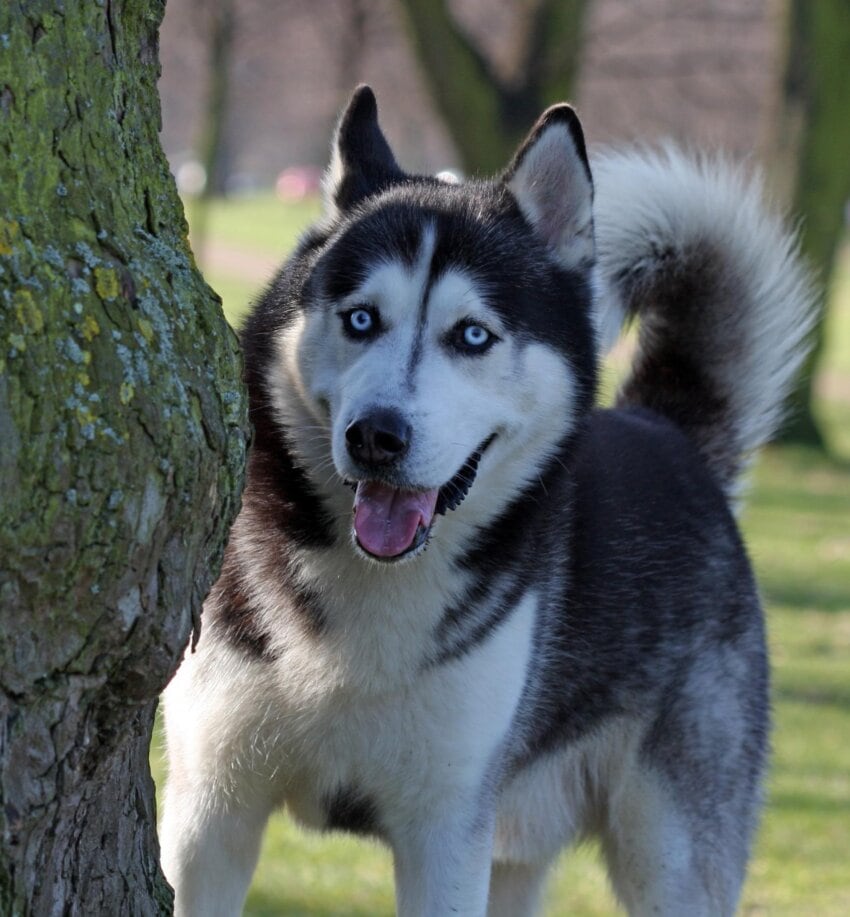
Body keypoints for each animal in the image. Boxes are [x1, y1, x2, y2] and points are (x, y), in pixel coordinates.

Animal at [161, 87, 816, 916]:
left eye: (471, 335)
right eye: (361, 318)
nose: (376, 435)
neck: (373, 597)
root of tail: (666, 430)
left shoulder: (445, 832)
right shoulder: (211, 810)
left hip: (670, 853)